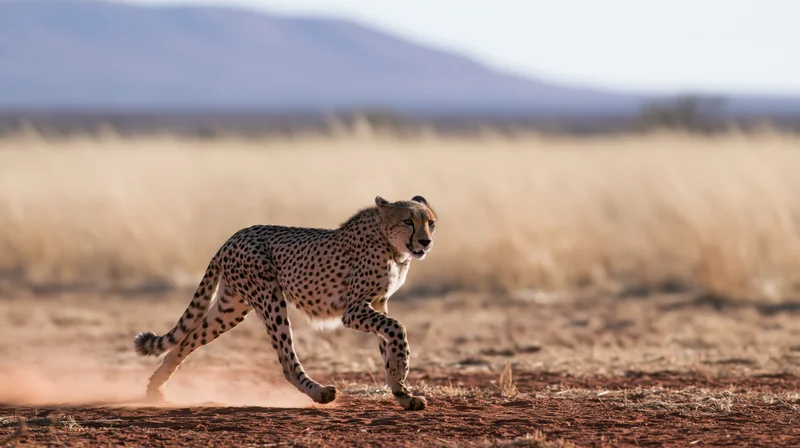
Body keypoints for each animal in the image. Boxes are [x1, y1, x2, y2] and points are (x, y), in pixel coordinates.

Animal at [133, 195, 437, 411]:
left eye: (430, 222)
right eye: (408, 221)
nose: (426, 241)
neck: (391, 245)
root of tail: (232, 237)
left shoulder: (378, 303)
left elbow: (387, 342)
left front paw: (402, 392)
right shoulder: (354, 310)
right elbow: (397, 328)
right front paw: (401, 369)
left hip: (230, 308)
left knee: (186, 341)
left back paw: (155, 388)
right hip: (269, 298)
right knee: (287, 361)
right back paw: (319, 392)